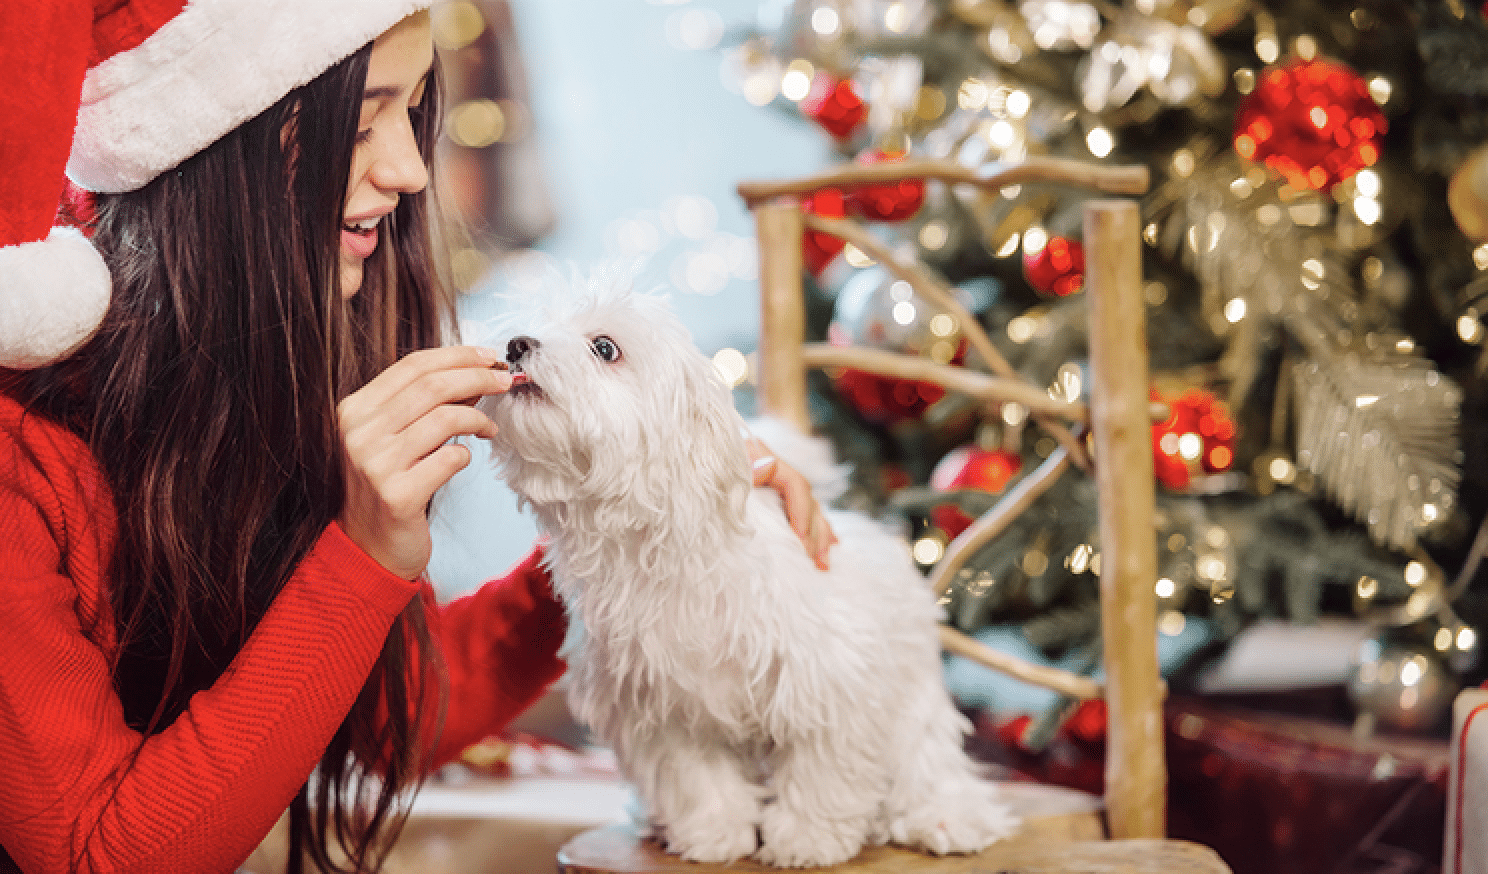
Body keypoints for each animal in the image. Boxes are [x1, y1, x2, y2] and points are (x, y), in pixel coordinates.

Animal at [482, 272, 1017, 869]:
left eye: (605, 348)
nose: (516, 345)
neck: (654, 549)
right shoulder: (660, 704)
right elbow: (696, 778)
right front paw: (714, 834)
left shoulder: (827, 684)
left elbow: (821, 772)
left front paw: (807, 838)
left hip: (914, 706)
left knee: (929, 764)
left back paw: (945, 818)